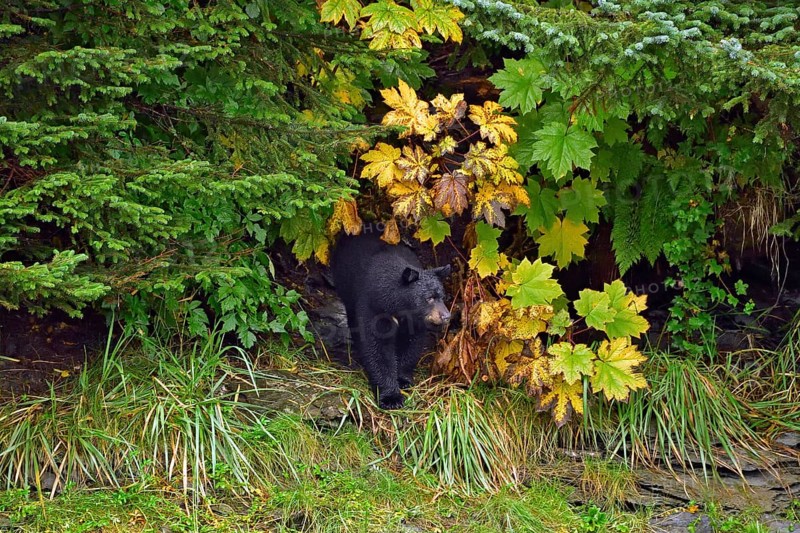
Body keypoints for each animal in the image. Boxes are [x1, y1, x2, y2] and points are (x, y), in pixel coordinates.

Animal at [331, 232, 451, 409]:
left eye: (442, 297)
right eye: (429, 298)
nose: (446, 316)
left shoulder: (414, 320)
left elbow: (412, 344)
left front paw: (403, 379)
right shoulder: (374, 306)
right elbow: (377, 348)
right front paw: (391, 398)